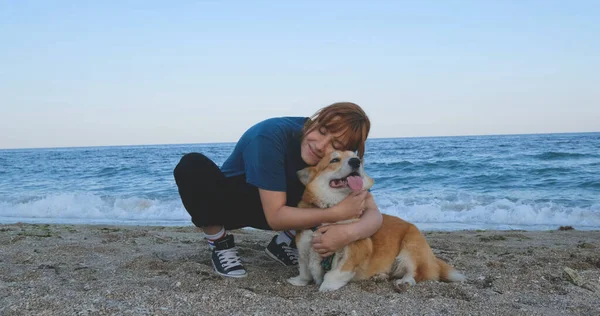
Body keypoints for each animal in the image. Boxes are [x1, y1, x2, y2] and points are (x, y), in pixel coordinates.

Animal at [288, 151, 466, 292]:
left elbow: (336, 273)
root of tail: (433, 260)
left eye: (355, 156)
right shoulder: (303, 248)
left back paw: (405, 282)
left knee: (415, 273)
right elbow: (304, 271)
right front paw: (298, 281)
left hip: (410, 247)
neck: (331, 213)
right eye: (334, 160)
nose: (356, 161)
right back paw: (380, 276)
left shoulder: (354, 250)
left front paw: (326, 286)